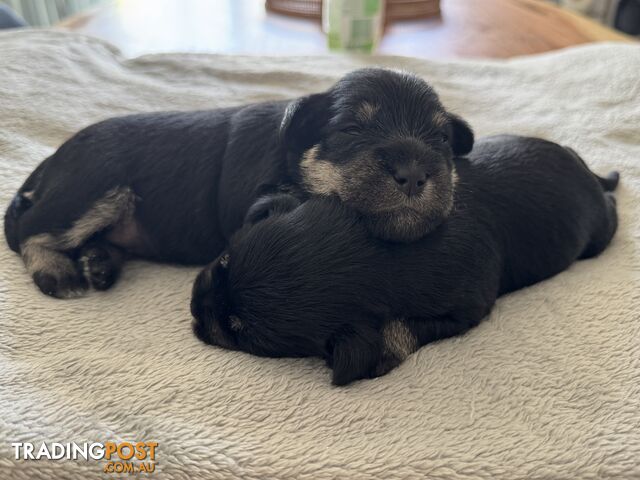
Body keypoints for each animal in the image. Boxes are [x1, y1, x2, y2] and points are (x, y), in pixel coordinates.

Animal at [2, 68, 472, 296]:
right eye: (352, 129)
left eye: (442, 139)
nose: (414, 174)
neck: (291, 154)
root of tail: (49, 164)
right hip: (94, 186)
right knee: (32, 231)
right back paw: (58, 272)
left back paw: (98, 262)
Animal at [191, 135, 620, 386]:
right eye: (224, 260)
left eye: (238, 329)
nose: (195, 308)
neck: (380, 250)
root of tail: (588, 174)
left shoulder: (466, 310)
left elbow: (402, 329)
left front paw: (380, 355)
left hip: (599, 231)